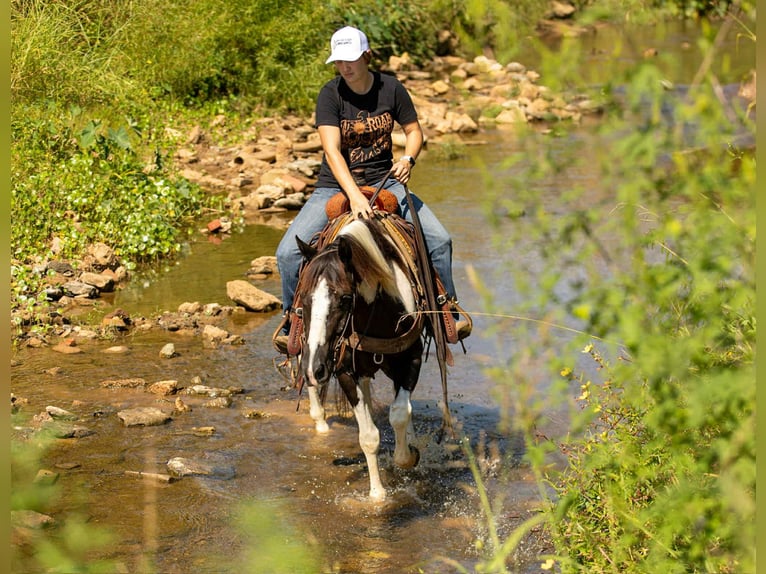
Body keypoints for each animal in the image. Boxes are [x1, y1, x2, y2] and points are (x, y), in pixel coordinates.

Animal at [293, 213, 427, 501]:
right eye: (304, 298)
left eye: (345, 298)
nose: (315, 369)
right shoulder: (344, 371)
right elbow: (368, 436)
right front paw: (377, 494)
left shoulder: (412, 358)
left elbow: (400, 412)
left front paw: (408, 456)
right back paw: (320, 422)